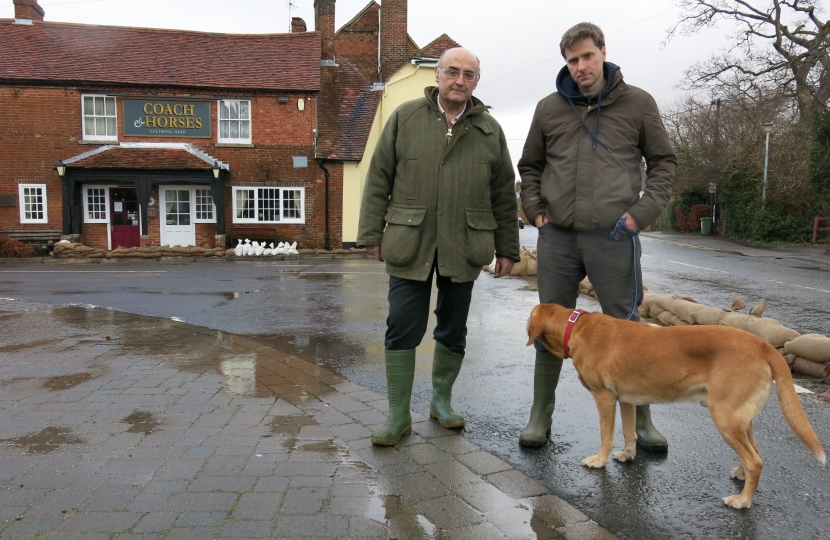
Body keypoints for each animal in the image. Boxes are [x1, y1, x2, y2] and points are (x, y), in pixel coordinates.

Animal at [528, 304, 824, 510]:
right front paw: (628, 455)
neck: (576, 326)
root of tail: (764, 345)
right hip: (739, 417)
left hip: (725, 417)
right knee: (755, 451)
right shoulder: (626, 400)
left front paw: (599, 460)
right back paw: (740, 476)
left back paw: (742, 501)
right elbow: (628, 432)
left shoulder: (605, 399)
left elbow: (606, 436)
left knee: (755, 461)